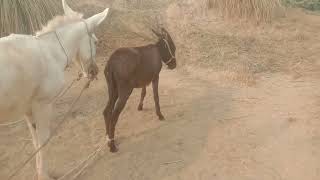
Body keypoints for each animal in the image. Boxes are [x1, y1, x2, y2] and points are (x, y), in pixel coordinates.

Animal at [0, 0, 109, 179]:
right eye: (95, 42)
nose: (94, 71)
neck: (51, 52)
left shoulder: (28, 109)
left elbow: (36, 141)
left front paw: (40, 170)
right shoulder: (42, 104)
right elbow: (43, 140)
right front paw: (44, 175)